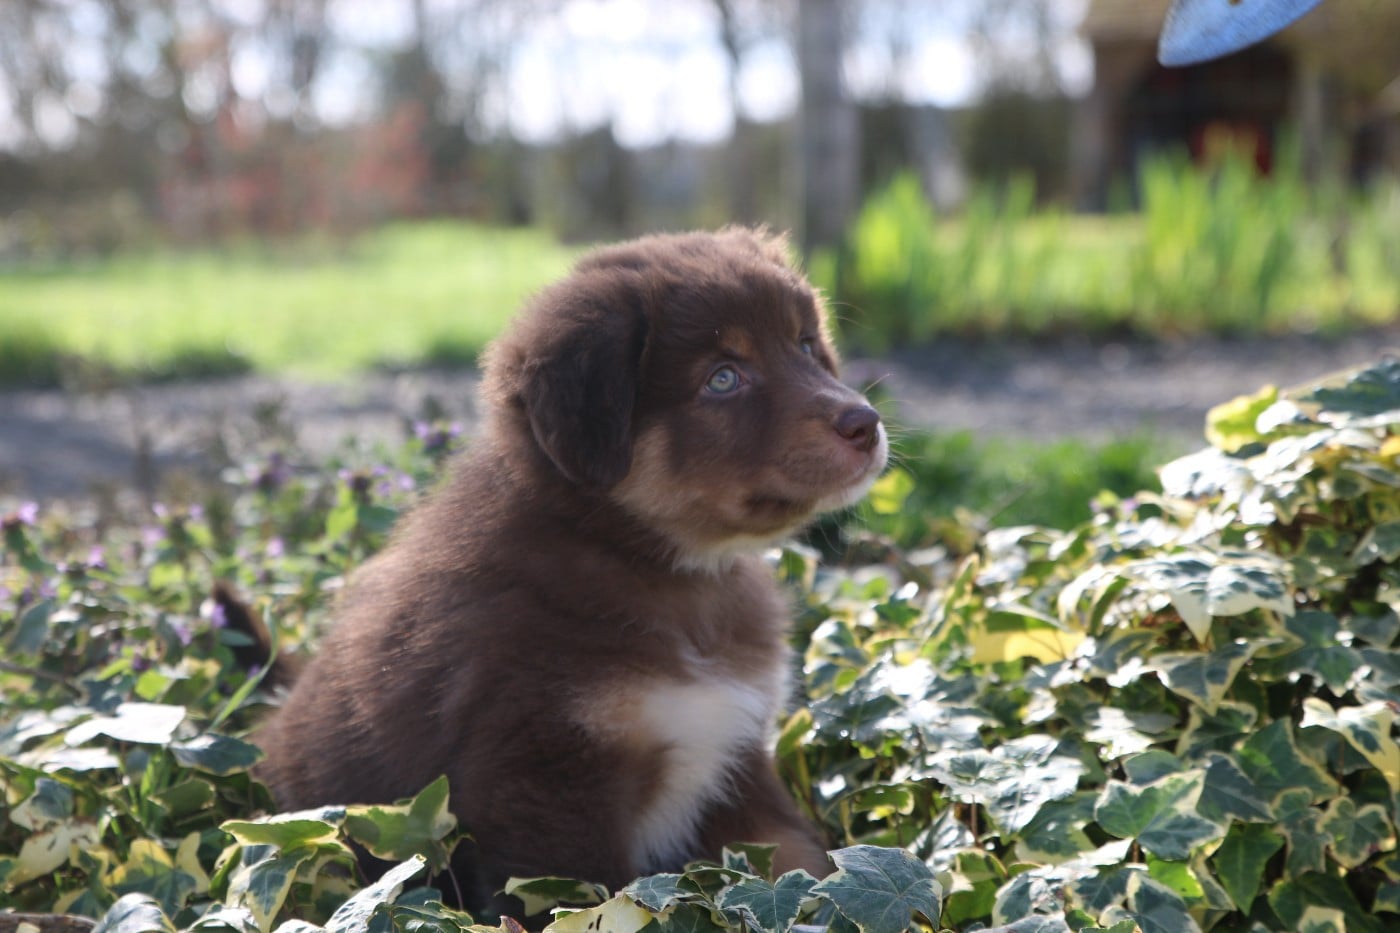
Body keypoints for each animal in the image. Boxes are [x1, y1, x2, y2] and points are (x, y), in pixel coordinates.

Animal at [250, 228, 888, 915]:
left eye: (805, 345)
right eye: (723, 378)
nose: (866, 423)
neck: (667, 571)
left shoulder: (736, 759)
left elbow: (802, 859)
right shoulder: (545, 787)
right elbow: (593, 904)